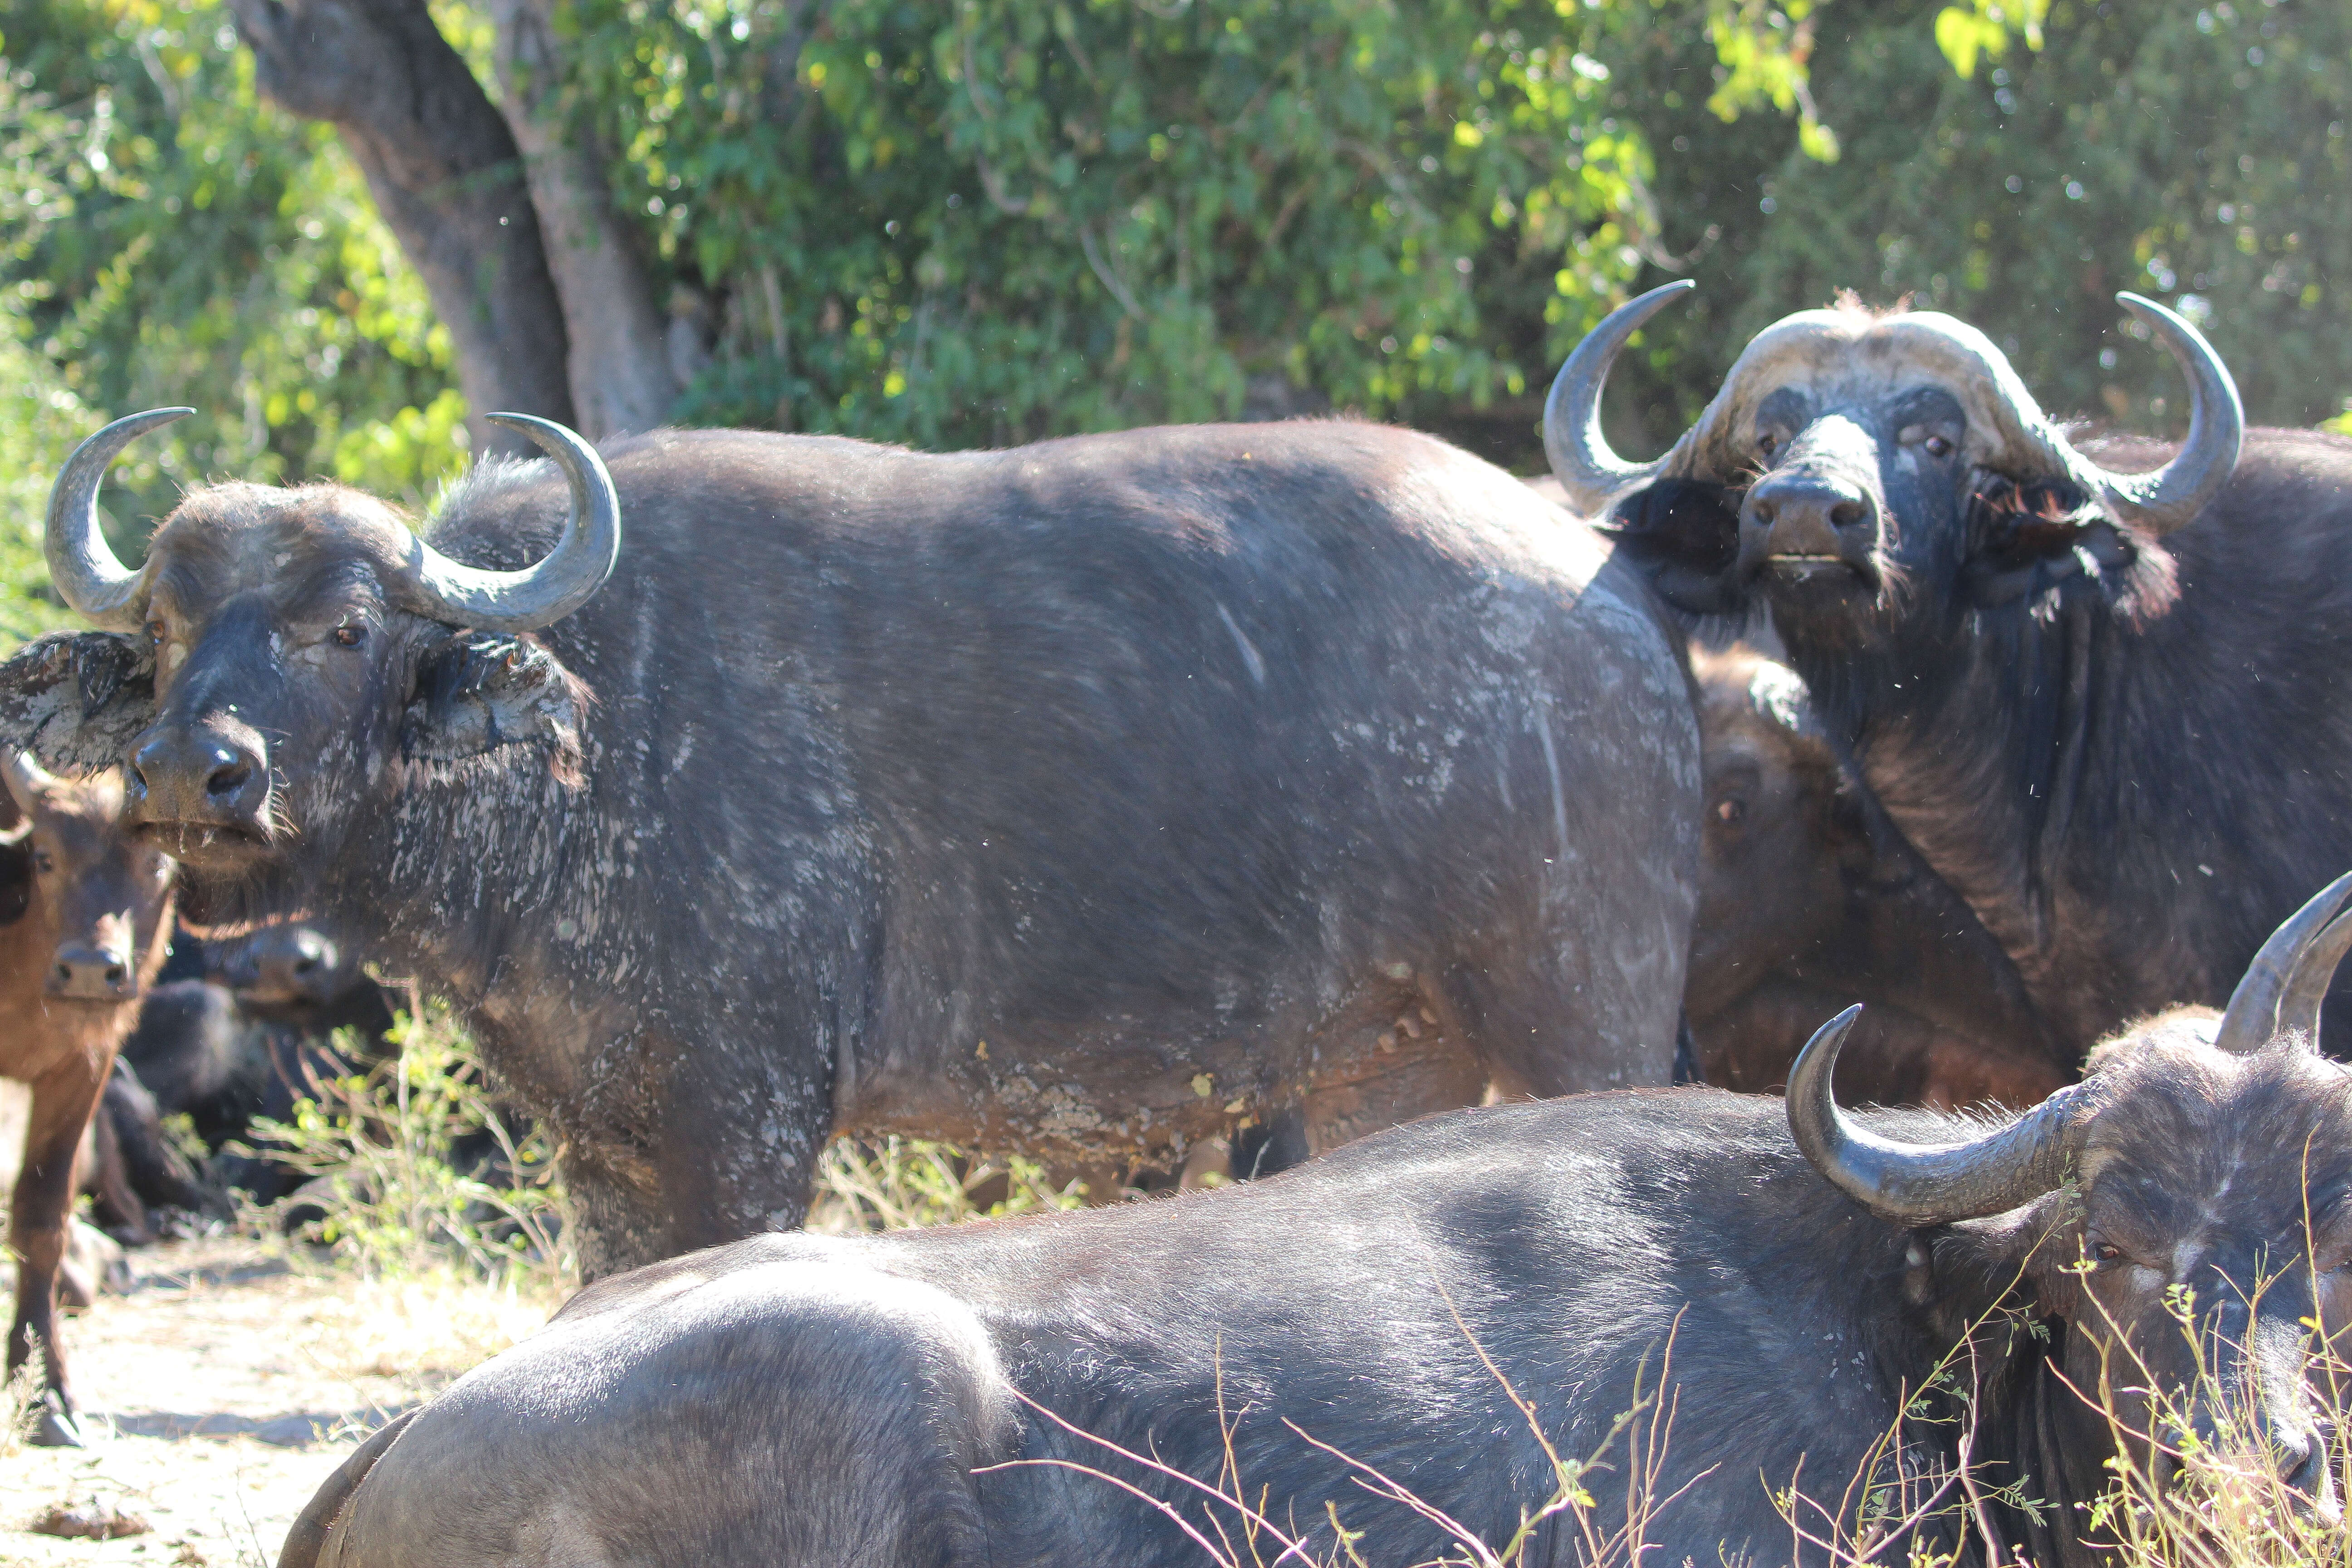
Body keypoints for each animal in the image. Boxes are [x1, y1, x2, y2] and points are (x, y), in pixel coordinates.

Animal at [0, 413, 1703, 1279]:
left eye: (346, 626)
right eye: (164, 628)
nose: (192, 773)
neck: (600, 732)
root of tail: (1607, 591)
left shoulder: (747, 1125)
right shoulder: (601, 1144)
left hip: (1586, 1010)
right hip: (1388, 1063)